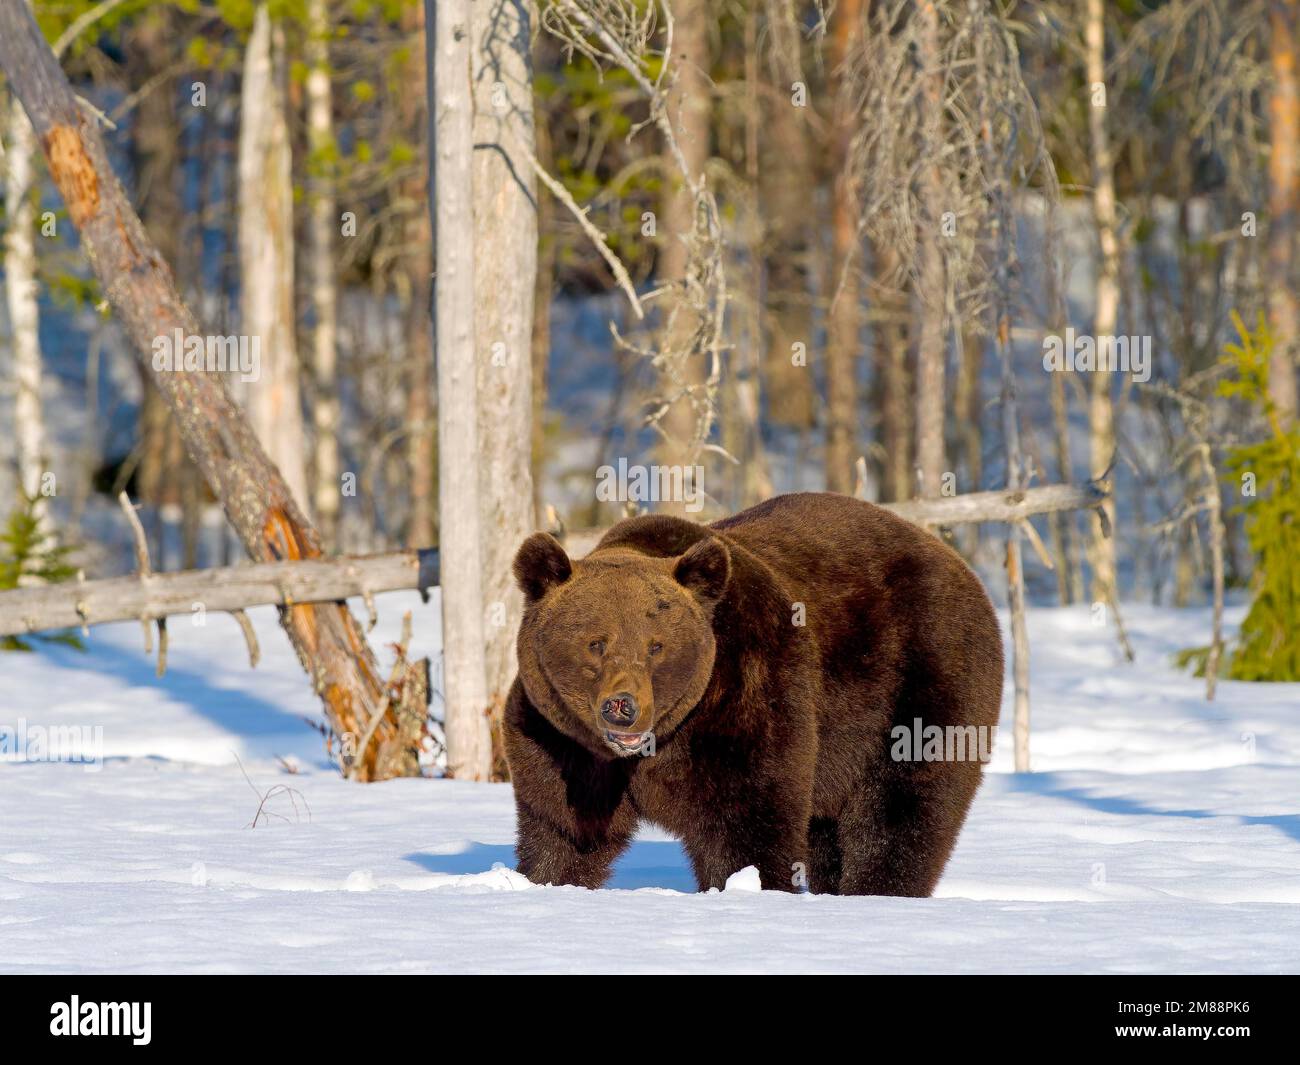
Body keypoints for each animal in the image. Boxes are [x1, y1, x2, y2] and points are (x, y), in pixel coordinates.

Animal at [501, 496, 998, 894]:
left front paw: (745, 887)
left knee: (902, 806)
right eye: (596, 643)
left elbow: (746, 823)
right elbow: (561, 829)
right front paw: (545, 881)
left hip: (921, 675)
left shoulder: (744, 702)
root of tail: (953, 558)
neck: (652, 749)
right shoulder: (560, 740)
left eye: (655, 646)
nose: (623, 708)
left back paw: (877, 891)